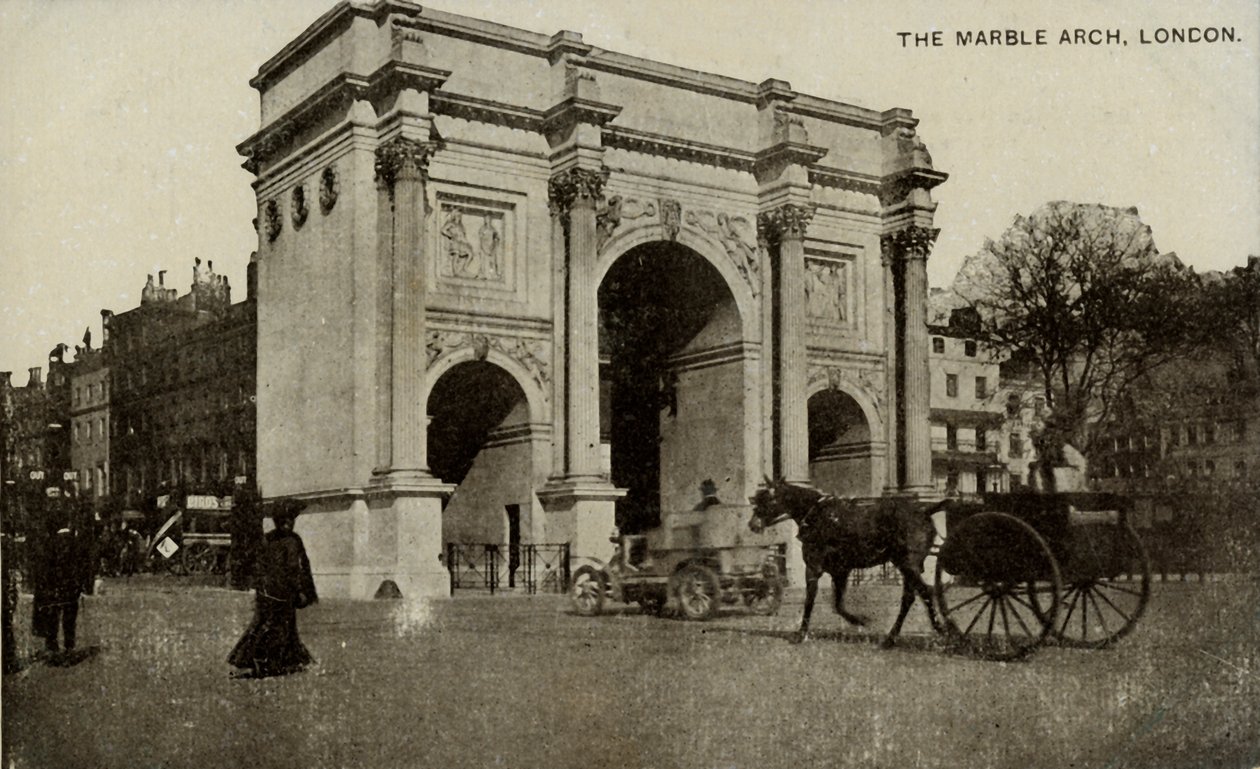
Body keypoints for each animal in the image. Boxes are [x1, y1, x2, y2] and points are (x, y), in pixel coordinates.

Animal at [745, 476, 947, 642]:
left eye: (768, 499)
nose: (752, 524)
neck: (817, 515)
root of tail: (924, 511)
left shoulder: (814, 567)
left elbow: (810, 600)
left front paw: (801, 634)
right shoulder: (840, 571)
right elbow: (838, 605)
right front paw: (858, 620)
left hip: (908, 564)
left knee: (926, 592)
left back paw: (941, 629)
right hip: (908, 566)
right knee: (909, 597)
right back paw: (891, 637)